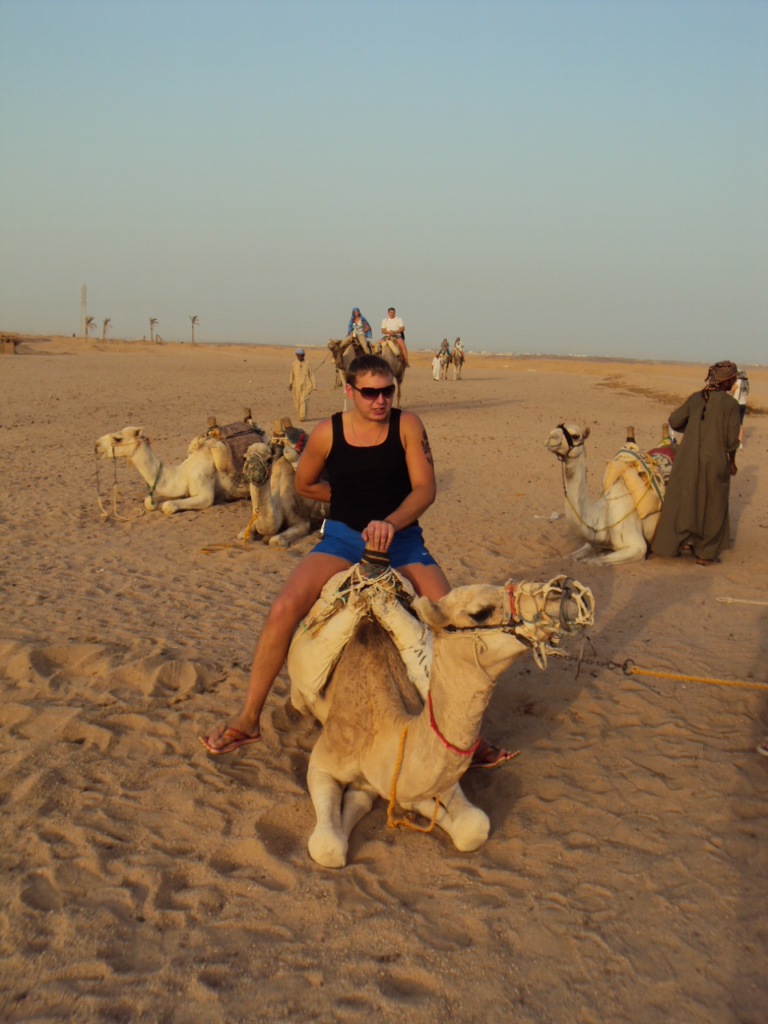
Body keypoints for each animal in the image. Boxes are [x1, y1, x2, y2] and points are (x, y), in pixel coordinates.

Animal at [94, 423, 264, 515]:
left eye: (118, 439)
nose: (96, 446)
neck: (184, 474)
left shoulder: (205, 495)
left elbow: (168, 506)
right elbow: (149, 501)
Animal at [287, 562, 594, 867]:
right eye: (480, 612)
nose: (563, 593)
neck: (383, 728)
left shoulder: (433, 779)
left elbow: (473, 827)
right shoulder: (323, 763)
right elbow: (328, 847)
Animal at [545, 422, 675, 566]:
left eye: (575, 436)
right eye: (558, 427)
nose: (551, 436)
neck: (601, 517)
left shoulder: (637, 546)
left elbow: (592, 562)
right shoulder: (593, 543)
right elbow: (569, 558)